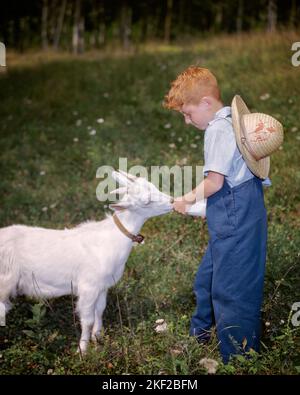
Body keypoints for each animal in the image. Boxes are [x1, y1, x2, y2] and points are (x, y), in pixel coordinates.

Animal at [0, 170, 173, 352]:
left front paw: (98, 337)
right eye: (146, 201)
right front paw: (83, 349)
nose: (172, 201)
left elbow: (100, 311)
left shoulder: (102, 286)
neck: (112, 238)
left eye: (153, 186)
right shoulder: (88, 287)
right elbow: (88, 320)